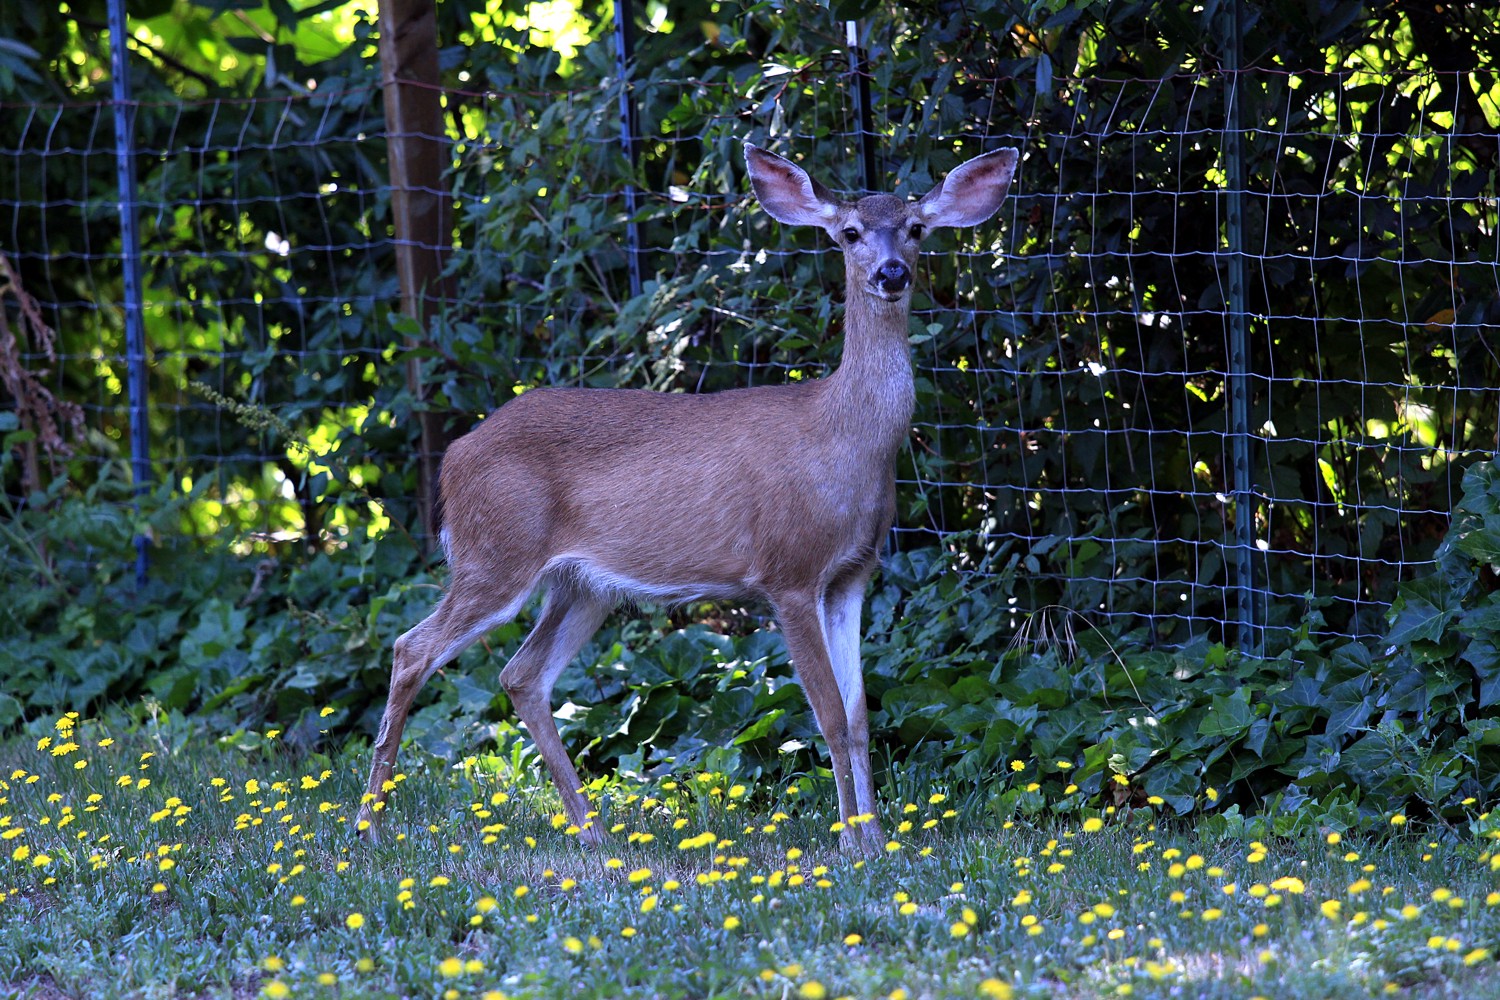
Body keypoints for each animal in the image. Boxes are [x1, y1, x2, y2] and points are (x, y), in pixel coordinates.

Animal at [355, 141, 1019, 856]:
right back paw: (371, 825)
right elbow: (831, 717)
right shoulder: (788, 571)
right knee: (412, 649)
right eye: (849, 233)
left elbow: (861, 715)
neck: (844, 436)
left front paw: (872, 840)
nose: (892, 273)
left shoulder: (852, 574)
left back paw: (592, 832)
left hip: (584, 584)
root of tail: (454, 457)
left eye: (917, 228)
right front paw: (851, 846)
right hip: (497, 551)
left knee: (520, 674)